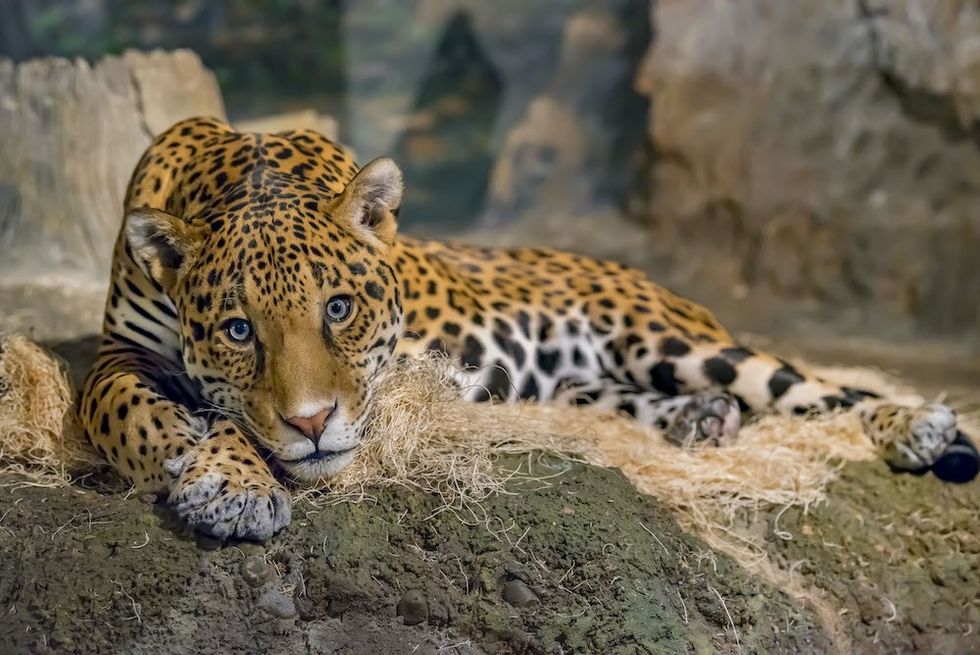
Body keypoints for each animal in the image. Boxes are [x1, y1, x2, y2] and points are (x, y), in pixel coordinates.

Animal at [80, 116, 979, 541]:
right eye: (238, 329)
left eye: (338, 308)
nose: (311, 422)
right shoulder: (119, 352)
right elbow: (132, 412)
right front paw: (223, 473)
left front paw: (233, 472)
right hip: (585, 379)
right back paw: (702, 420)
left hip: (672, 336)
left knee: (812, 386)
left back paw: (916, 424)